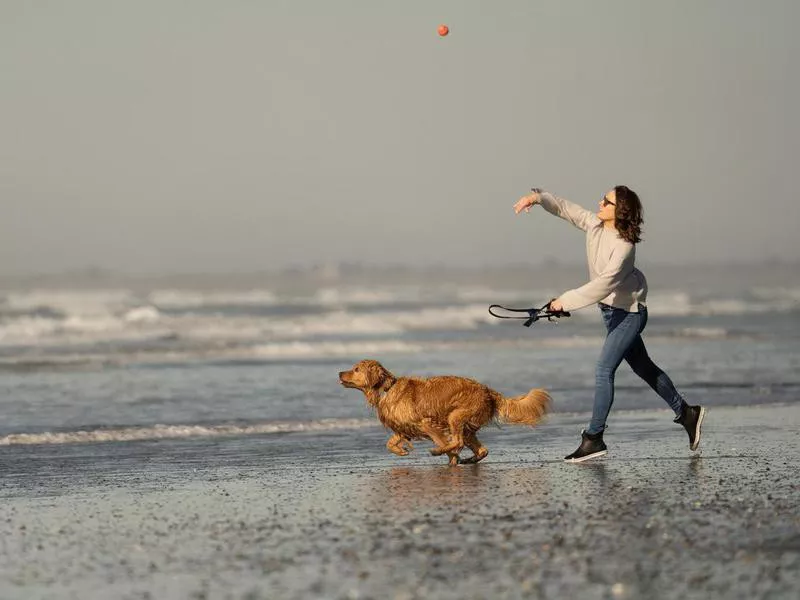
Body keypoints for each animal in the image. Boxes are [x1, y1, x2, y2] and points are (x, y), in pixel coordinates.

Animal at [338, 358, 552, 466]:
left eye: (356, 369)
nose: (339, 373)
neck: (386, 389)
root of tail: (488, 391)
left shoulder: (427, 423)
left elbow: (444, 442)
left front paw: (450, 456)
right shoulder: (403, 428)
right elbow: (390, 443)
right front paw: (401, 450)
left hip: (455, 416)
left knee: (458, 441)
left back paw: (440, 452)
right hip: (467, 426)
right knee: (482, 449)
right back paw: (470, 459)